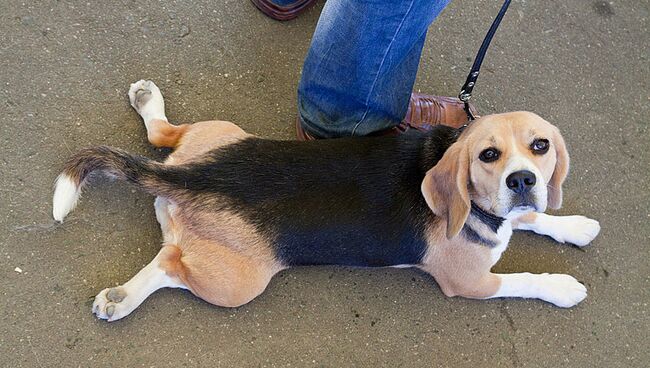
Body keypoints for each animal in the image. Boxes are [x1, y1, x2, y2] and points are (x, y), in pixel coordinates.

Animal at [50, 80, 596, 322]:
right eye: (488, 155)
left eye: (540, 146)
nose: (522, 180)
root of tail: (191, 176)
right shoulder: (470, 283)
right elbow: (522, 279)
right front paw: (563, 287)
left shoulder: (514, 213)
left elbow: (533, 218)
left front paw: (575, 225)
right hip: (238, 284)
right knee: (169, 265)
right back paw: (123, 298)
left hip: (218, 134)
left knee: (163, 136)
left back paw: (149, 102)